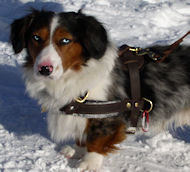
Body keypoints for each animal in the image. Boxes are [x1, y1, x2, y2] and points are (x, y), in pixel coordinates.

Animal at [10, 9, 190, 171]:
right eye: (36, 37)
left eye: (65, 40)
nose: (44, 69)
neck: (75, 74)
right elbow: (82, 137)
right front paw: (76, 151)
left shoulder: (107, 119)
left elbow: (96, 141)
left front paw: (88, 163)